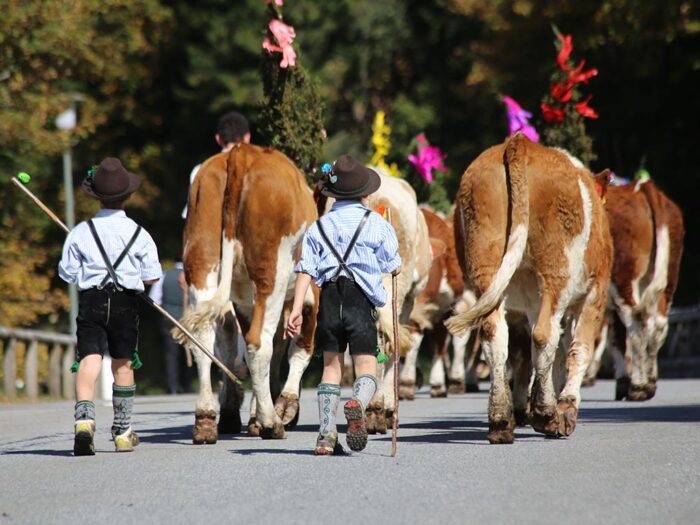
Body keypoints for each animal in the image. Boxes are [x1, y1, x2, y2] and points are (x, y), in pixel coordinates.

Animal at [175, 144, 318, 442]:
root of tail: (242, 153)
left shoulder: (242, 300)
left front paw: (254, 414)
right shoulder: (312, 291)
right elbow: (300, 348)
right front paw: (283, 406)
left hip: (201, 261)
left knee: (204, 339)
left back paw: (206, 419)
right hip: (271, 273)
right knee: (257, 343)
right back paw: (271, 424)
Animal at [442, 134, 612, 442]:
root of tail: (518, 143)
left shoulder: (525, 307)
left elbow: (531, 357)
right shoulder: (595, 292)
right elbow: (578, 349)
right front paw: (565, 408)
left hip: (486, 262)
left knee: (495, 333)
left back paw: (501, 420)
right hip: (557, 270)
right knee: (545, 333)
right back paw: (545, 414)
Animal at [584, 178, 684, 400]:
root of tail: (643, 187)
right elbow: (616, 340)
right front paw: (621, 381)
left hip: (624, 279)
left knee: (637, 323)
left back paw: (639, 387)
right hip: (667, 281)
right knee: (657, 325)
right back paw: (649, 382)